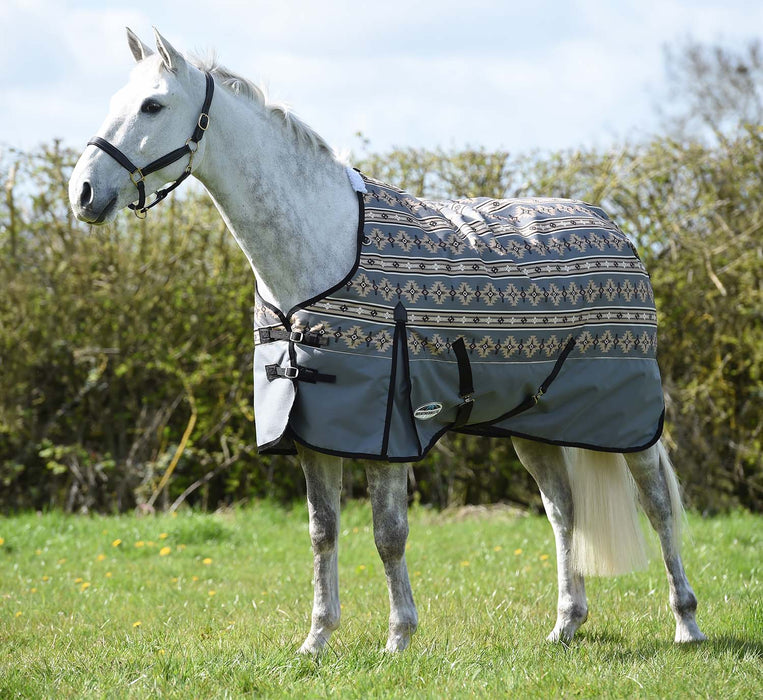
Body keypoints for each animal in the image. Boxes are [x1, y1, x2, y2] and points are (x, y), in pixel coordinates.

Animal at [68, 28, 706, 653]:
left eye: (153, 105)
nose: (83, 193)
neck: (324, 249)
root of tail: (616, 229)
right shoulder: (313, 430)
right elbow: (322, 533)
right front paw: (317, 638)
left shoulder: (390, 432)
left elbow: (388, 534)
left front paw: (399, 636)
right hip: (536, 424)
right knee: (562, 512)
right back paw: (566, 625)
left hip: (629, 423)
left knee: (658, 506)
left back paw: (686, 623)